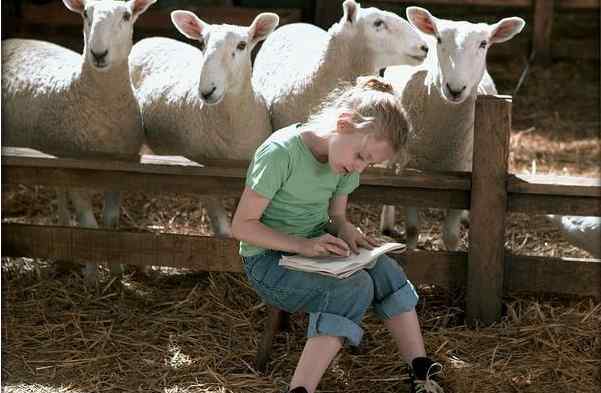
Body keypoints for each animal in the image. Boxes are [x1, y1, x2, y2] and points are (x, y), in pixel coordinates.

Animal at [1, 0, 156, 278]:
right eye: (85, 13)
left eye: (127, 15)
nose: (98, 53)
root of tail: (12, 40)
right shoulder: (76, 171)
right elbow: (88, 227)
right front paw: (93, 277)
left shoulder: (120, 171)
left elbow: (110, 224)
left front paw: (116, 272)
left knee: (59, 191)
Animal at [129, 9, 278, 236]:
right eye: (202, 42)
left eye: (242, 45)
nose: (207, 91)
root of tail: (150, 38)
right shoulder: (203, 177)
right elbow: (224, 231)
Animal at [382, 7, 524, 250]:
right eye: (439, 39)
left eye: (484, 43)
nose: (455, 89)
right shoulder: (411, 171)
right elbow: (413, 229)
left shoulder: (463, 174)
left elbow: (450, 236)